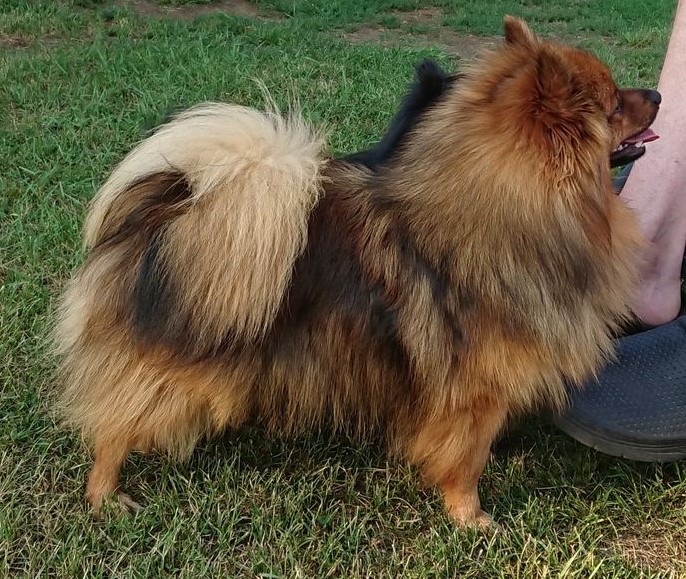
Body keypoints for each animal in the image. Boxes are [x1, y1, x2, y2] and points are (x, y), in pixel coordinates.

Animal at [57, 18, 660, 528]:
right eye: (615, 105)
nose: (656, 94)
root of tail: (167, 211)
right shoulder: (472, 394)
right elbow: (465, 460)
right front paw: (471, 519)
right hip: (171, 369)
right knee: (112, 428)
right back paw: (106, 496)